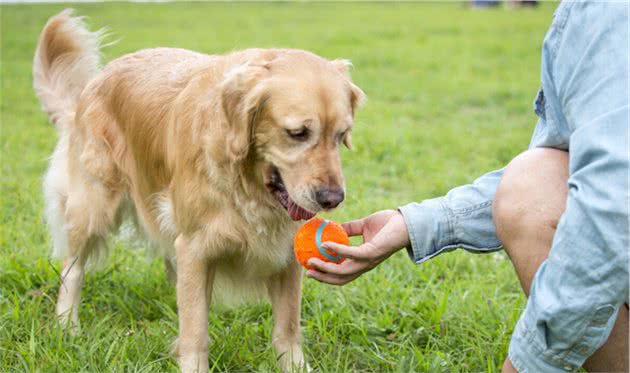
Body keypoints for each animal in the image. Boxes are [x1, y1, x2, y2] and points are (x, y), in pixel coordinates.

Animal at [34, 8, 368, 372]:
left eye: (341, 135)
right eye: (297, 133)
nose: (333, 199)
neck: (245, 187)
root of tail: (91, 86)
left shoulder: (285, 250)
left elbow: (287, 326)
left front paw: (295, 366)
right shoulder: (196, 248)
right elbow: (196, 329)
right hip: (94, 205)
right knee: (72, 268)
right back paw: (67, 325)